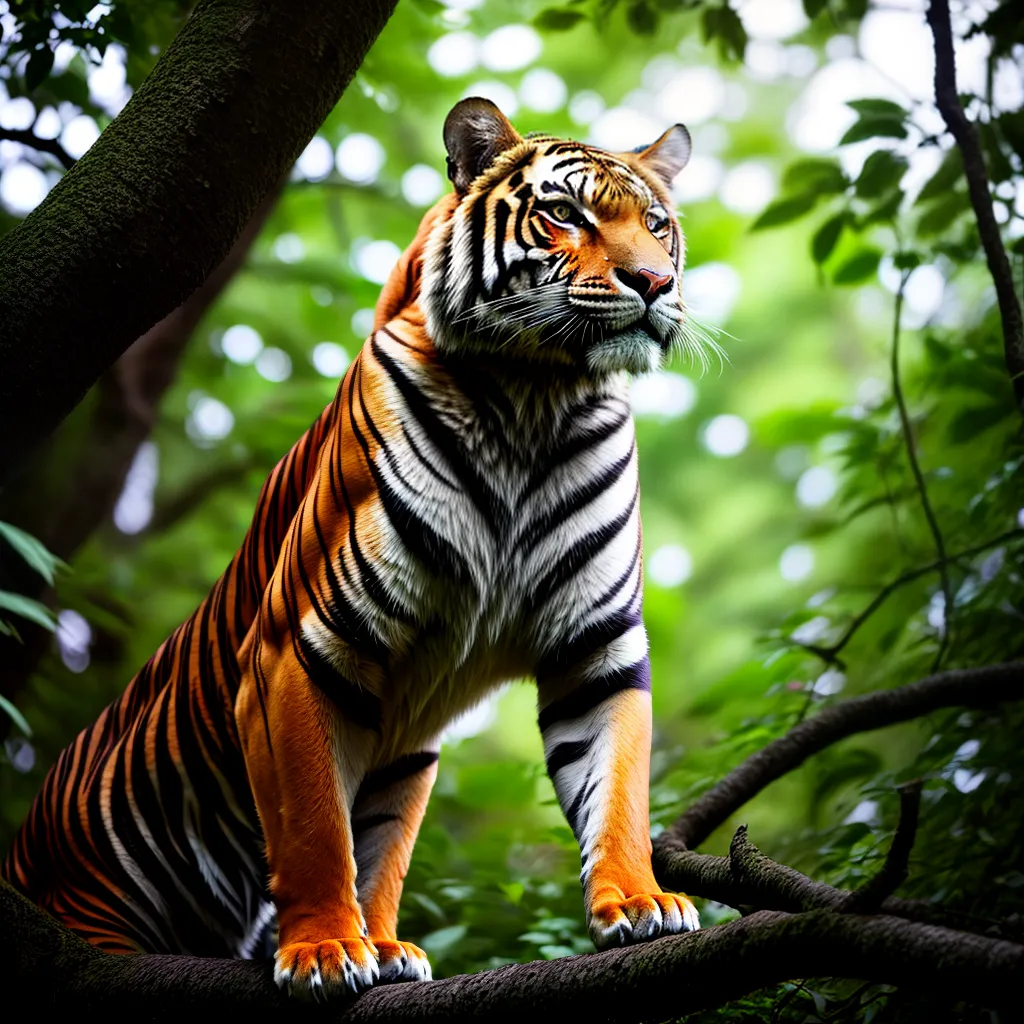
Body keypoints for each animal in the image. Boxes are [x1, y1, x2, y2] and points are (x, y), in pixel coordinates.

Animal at [3, 97, 703, 1000]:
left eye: (656, 225)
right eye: (566, 215)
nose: (654, 283)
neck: (534, 399)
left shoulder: (596, 647)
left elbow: (611, 790)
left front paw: (641, 903)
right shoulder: (301, 652)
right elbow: (315, 830)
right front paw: (328, 950)